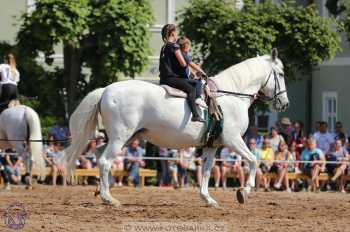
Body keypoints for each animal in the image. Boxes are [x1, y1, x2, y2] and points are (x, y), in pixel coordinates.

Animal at [61, 49, 288, 208]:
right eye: (281, 73)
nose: (284, 103)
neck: (230, 95)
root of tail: (106, 90)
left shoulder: (212, 145)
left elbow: (206, 171)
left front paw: (208, 199)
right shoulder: (233, 140)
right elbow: (253, 160)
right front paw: (244, 192)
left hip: (127, 138)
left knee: (100, 155)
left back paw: (100, 190)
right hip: (120, 137)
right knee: (105, 161)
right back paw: (109, 198)